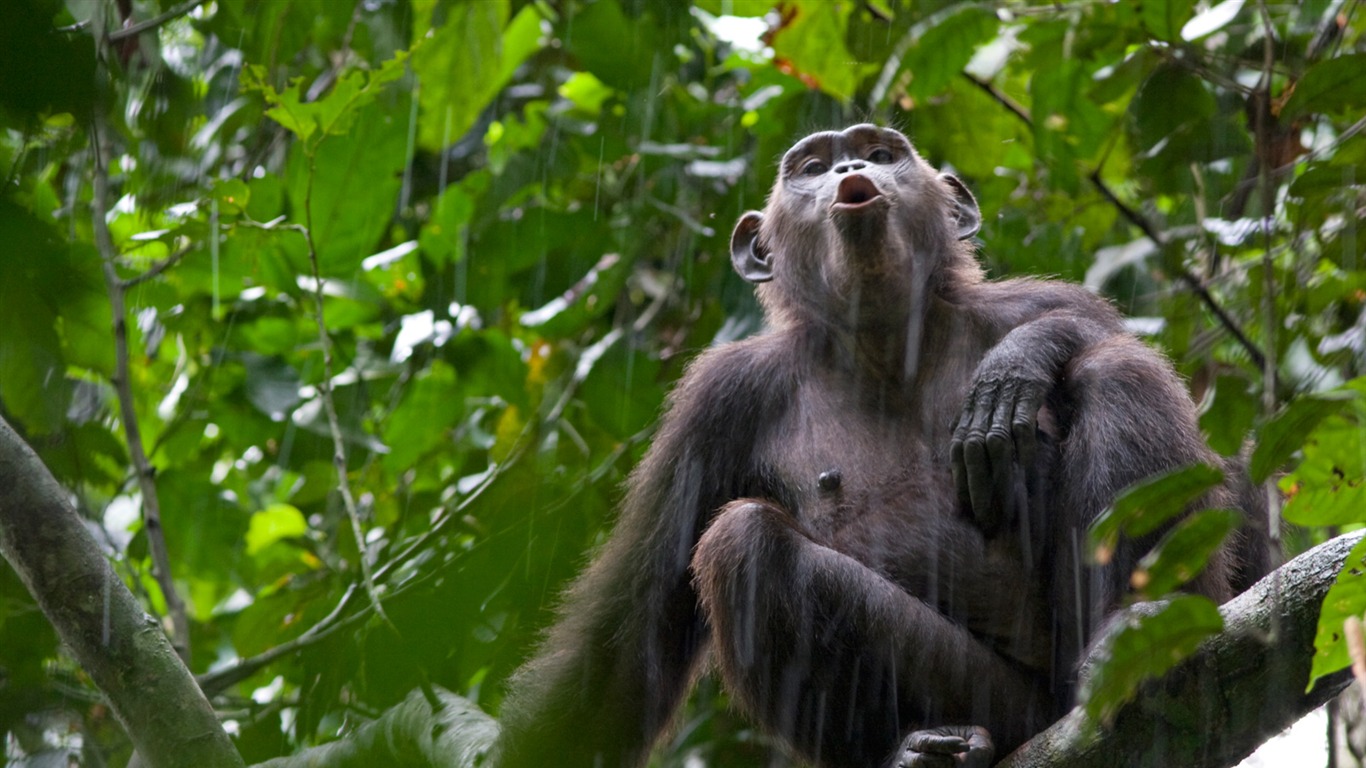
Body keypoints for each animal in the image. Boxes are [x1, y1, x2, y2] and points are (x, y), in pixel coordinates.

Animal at [497, 124, 1262, 765]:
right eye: (811, 167)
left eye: (881, 151)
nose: (849, 168)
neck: (884, 338)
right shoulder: (715, 405)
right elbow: (631, 630)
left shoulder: (1037, 300)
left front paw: (1022, 359)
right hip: (996, 703)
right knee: (745, 546)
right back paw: (923, 750)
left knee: (1117, 371)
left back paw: (1135, 636)